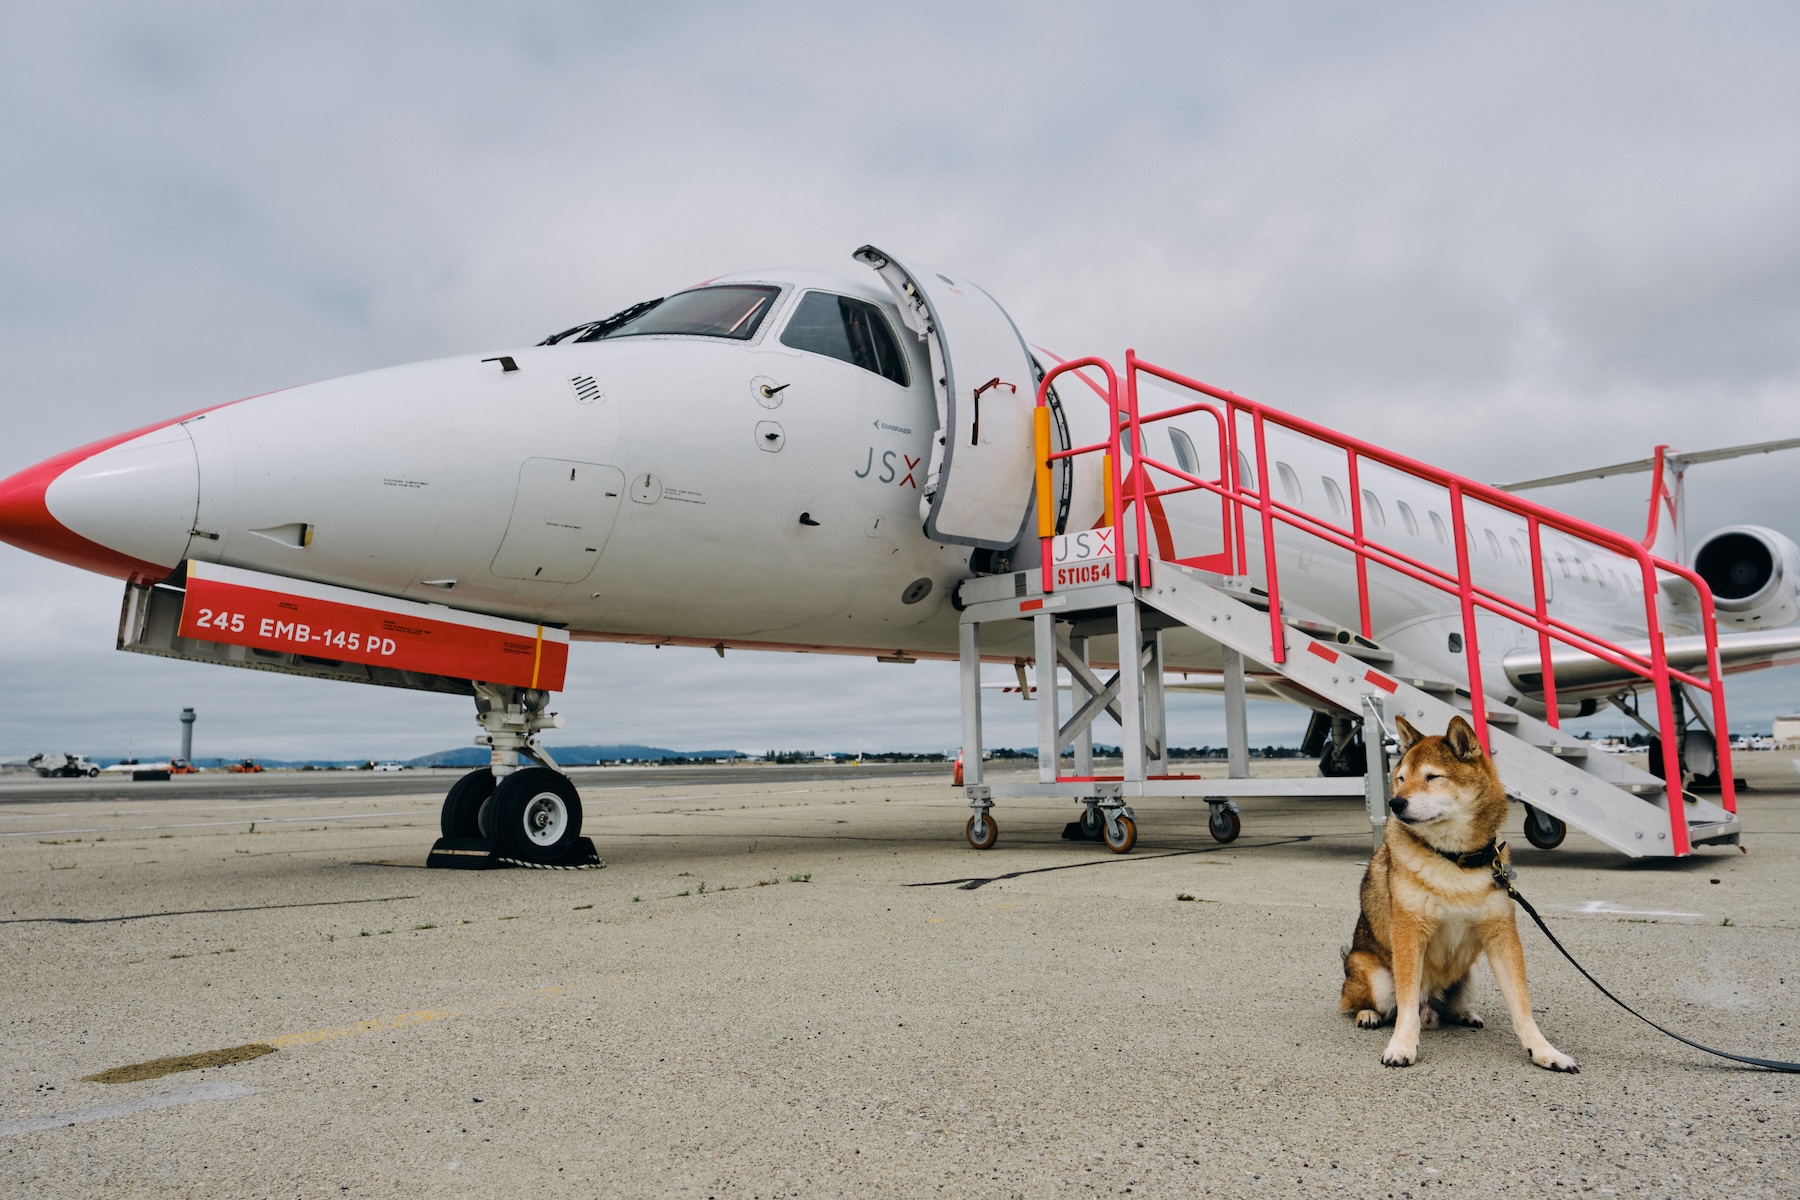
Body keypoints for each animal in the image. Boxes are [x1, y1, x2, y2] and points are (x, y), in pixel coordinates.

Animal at [1339, 713, 1578, 1072]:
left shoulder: (1502, 936)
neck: (1452, 858)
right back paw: (1368, 1014)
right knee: (1364, 1002)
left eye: (1432, 777)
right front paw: (1401, 1045)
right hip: (1374, 974)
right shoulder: (1409, 933)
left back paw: (1464, 1013)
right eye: (1401, 778)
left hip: (1472, 972)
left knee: (1447, 1007)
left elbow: (1521, 1005)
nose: (1395, 803)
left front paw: (1544, 1051)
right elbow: (1405, 1005)